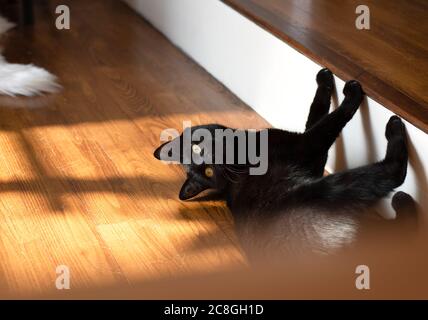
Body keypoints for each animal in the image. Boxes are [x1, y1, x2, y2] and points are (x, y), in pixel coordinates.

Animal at [154, 69, 408, 258]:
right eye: (208, 170)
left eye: (197, 148)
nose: (211, 159)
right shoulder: (307, 144)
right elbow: (330, 121)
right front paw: (351, 92)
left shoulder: (314, 155)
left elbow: (316, 112)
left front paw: (324, 78)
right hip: (328, 189)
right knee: (391, 175)